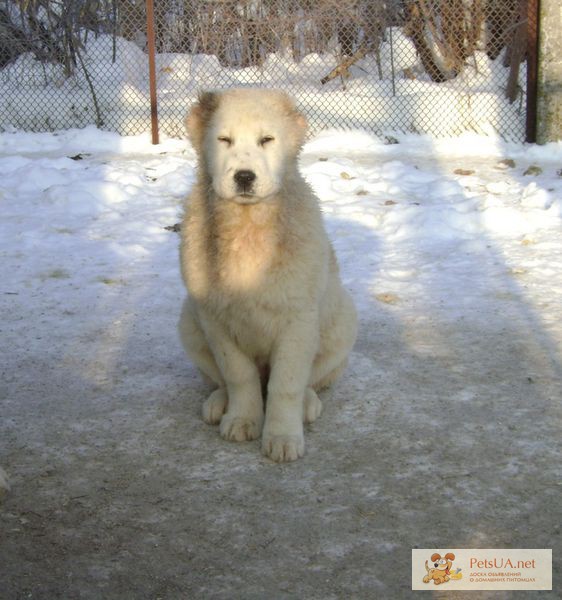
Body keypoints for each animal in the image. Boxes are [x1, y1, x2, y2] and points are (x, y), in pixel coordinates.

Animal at [177, 88, 356, 464]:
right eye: (224, 139)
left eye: (267, 140)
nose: (244, 177)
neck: (248, 227)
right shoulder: (214, 317)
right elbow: (238, 375)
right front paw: (242, 419)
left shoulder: (298, 319)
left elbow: (286, 383)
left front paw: (283, 437)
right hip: (188, 322)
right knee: (221, 379)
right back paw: (218, 402)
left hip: (342, 322)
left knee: (310, 380)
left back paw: (308, 404)